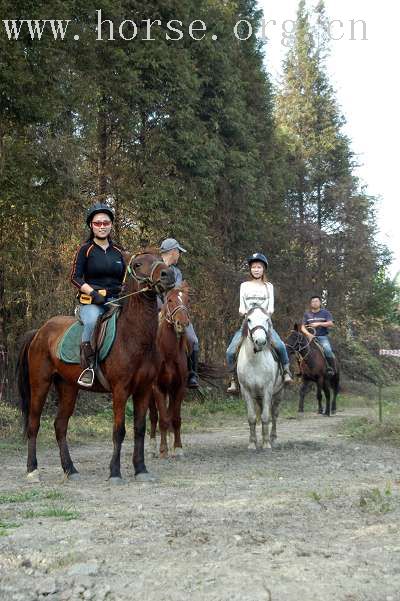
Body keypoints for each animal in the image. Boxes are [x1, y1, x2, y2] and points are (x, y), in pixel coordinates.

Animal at [16, 250, 175, 482]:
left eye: (160, 258)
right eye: (137, 264)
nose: (167, 274)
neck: (134, 337)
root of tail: (39, 332)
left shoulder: (144, 390)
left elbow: (139, 429)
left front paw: (141, 469)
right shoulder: (120, 390)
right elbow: (119, 431)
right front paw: (115, 472)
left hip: (68, 387)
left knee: (60, 425)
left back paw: (70, 469)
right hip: (40, 384)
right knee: (34, 424)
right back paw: (32, 470)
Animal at [238, 310, 284, 450]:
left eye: (267, 319)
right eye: (249, 319)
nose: (260, 341)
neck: (254, 361)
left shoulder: (267, 389)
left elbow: (265, 417)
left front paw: (266, 444)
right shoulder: (246, 391)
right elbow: (252, 418)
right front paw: (252, 443)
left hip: (278, 393)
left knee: (274, 415)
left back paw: (273, 439)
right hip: (258, 396)